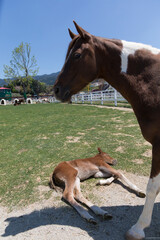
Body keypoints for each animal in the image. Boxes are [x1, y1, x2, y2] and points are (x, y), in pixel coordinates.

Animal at [53, 21, 160, 239]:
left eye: (77, 55)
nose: (56, 90)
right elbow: (144, 183)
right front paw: (139, 226)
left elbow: (141, 182)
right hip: (73, 177)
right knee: (70, 196)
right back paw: (93, 214)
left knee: (76, 195)